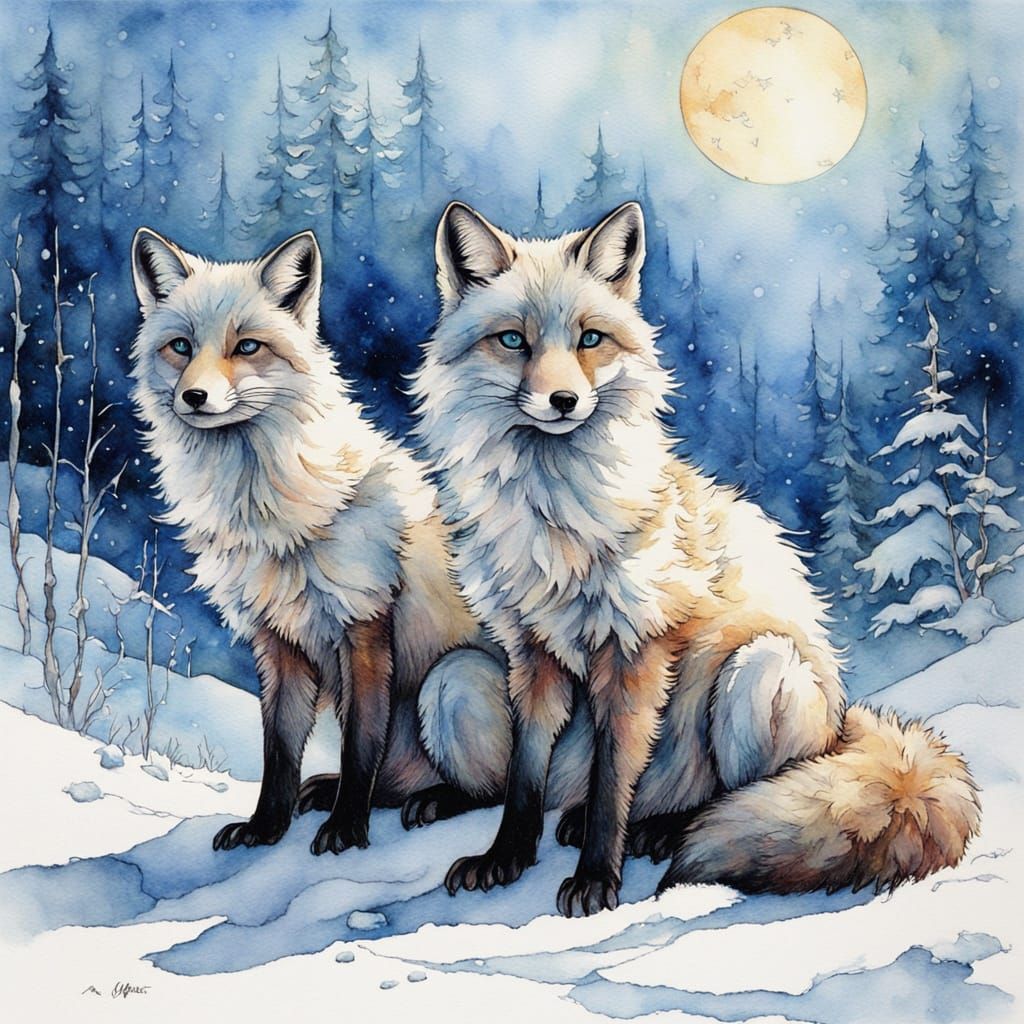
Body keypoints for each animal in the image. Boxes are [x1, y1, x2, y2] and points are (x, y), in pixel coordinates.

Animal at [129, 227, 512, 855]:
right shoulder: (277, 643)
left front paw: (346, 830)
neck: (277, 521)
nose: (194, 397)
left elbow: (359, 747)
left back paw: (437, 801)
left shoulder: (365, 629)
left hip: (453, 679)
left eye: (247, 347)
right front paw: (266, 828)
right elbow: (280, 753)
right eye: (181, 347)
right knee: (390, 785)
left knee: (502, 790)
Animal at [409, 200, 981, 916]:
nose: (563, 402)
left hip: (757, 671)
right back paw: (464, 801)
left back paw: (662, 832)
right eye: (513, 341)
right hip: (451, 680)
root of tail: (844, 720)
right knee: (519, 781)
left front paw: (597, 878)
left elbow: (611, 784)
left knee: (731, 797)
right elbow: (522, 780)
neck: (554, 523)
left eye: (590, 340)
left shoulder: (635, 651)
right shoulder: (529, 652)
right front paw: (506, 857)